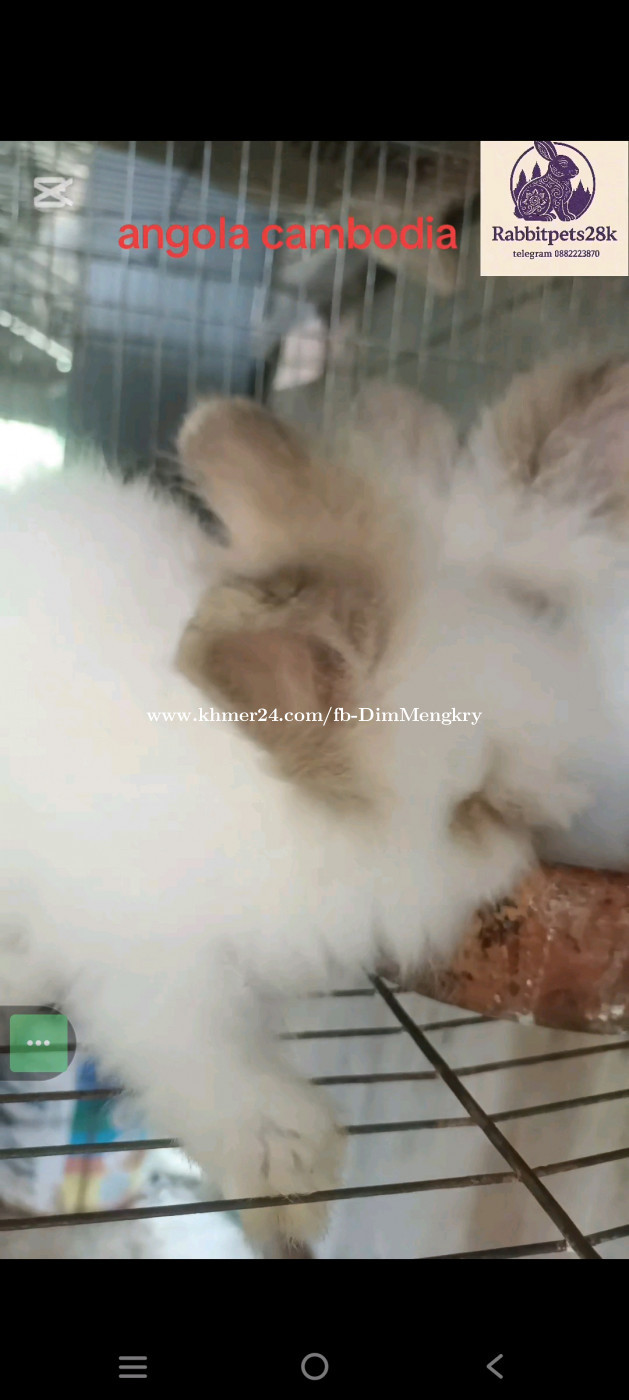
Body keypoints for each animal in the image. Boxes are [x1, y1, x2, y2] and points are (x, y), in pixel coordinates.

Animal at [0, 362, 626, 1251]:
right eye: (477, 808)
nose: (568, 810)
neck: (279, 811)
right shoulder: (154, 971)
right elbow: (212, 1067)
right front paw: (293, 1182)